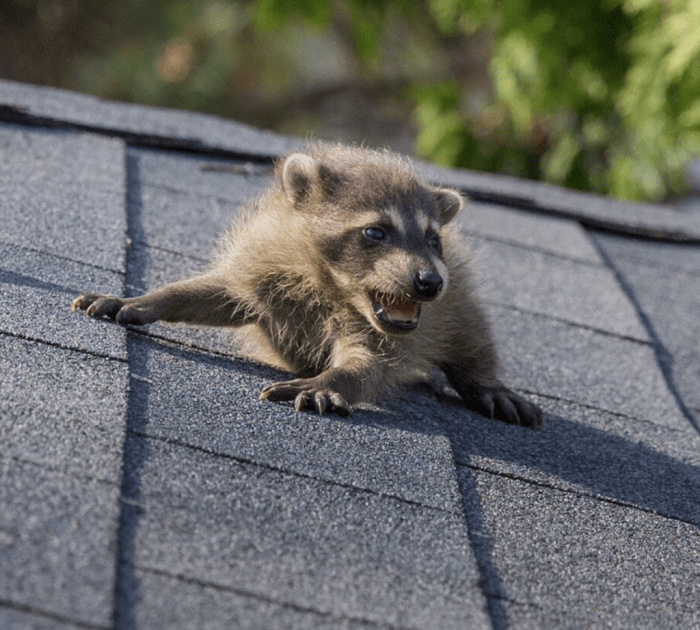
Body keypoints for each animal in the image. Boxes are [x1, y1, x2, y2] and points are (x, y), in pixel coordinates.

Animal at [72, 144, 542, 429]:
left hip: (457, 300)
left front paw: (330, 381)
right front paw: (148, 298)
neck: (328, 284)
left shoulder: (382, 328)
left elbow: (365, 364)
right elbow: (214, 294)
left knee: (472, 335)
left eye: (433, 240)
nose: (429, 282)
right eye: (376, 232)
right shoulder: (265, 267)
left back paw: (485, 381)